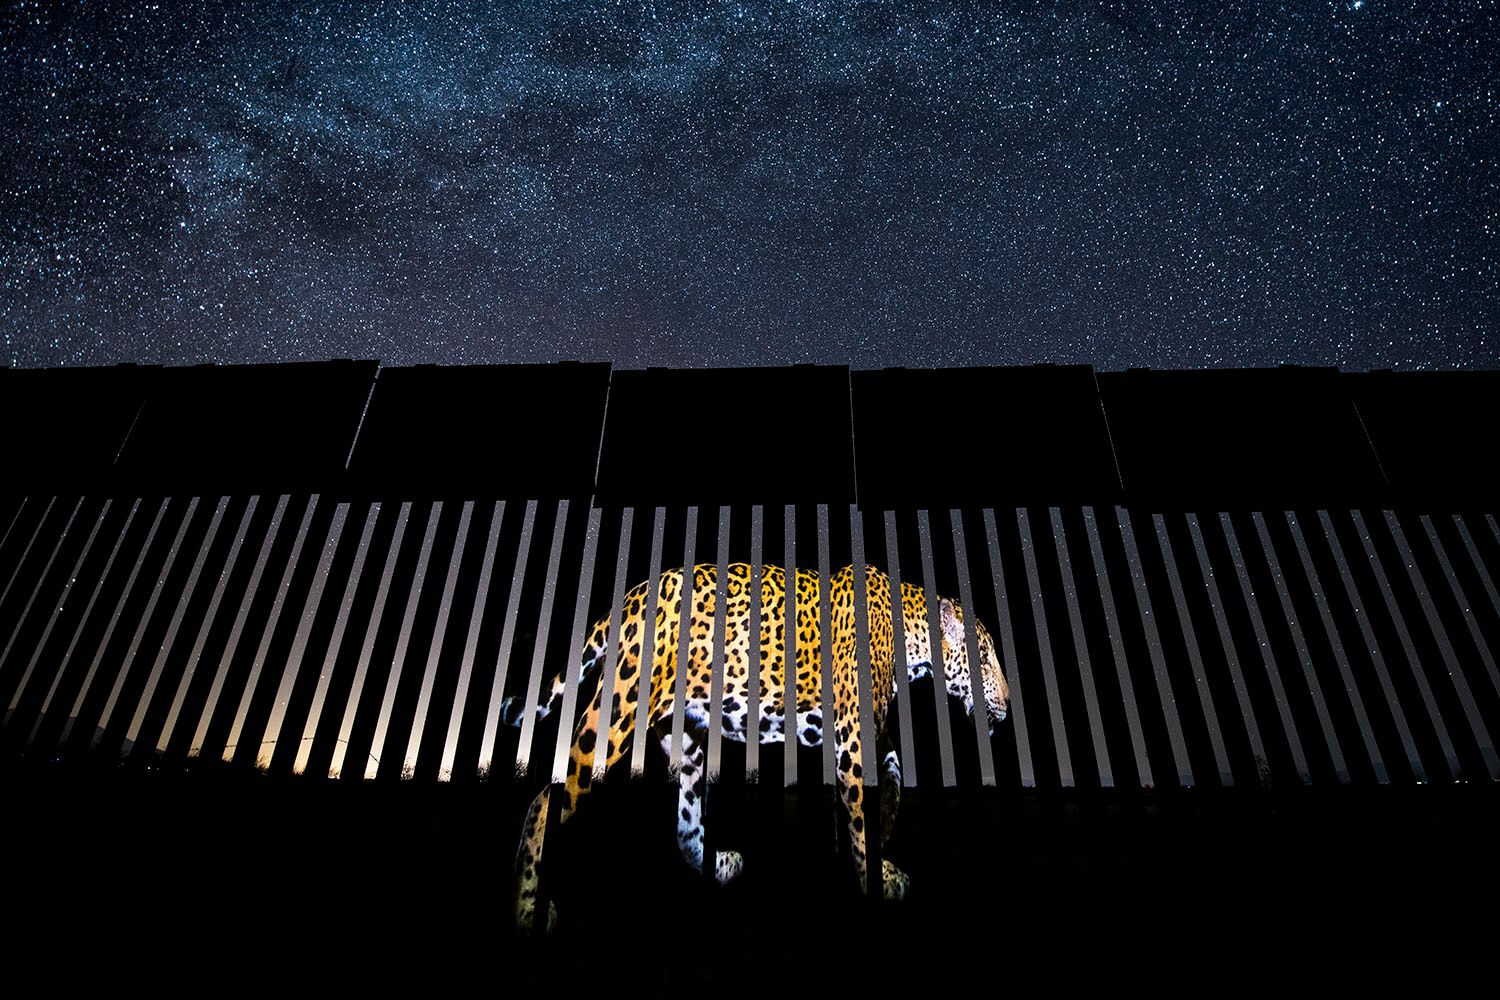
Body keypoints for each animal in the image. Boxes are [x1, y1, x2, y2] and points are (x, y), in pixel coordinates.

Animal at [499, 562, 1010, 931]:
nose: (1006, 705)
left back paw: (721, 865)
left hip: (687, 734)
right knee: (545, 799)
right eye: (984, 657)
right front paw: (876, 880)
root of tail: (633, 595)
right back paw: (525, 910)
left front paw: (881, 839)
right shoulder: (852, 743)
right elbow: (863, 816)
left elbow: (894, 777)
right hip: (615, 717)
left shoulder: (867, 739)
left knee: (686, 823)